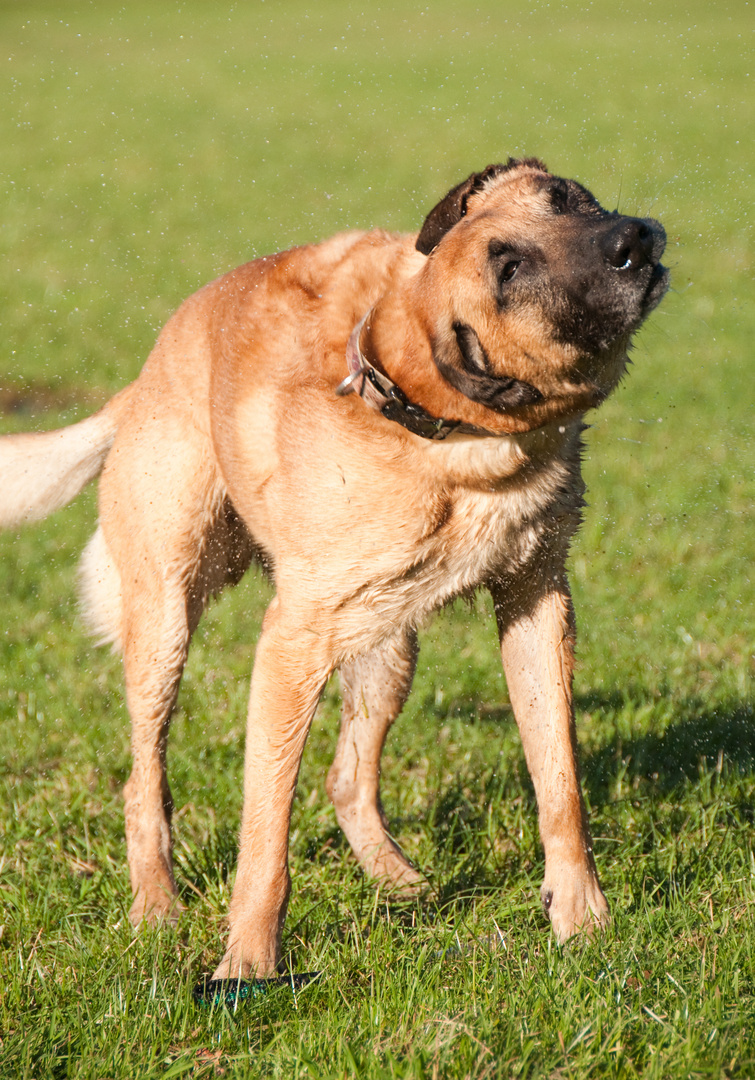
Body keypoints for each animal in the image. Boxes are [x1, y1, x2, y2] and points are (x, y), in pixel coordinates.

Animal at [2, 157, 669, 980]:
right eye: (508, 270)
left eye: (567, 198)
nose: (633, 240)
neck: (430, 420)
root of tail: (139, 382)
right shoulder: (289, 647)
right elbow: (264, 838)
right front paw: (246, 967)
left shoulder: (536, 600)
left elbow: (559, 782)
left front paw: (582, 919)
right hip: (164, 625)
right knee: (143, 782)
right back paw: (156, 906)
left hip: (387, 643)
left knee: (346, 777)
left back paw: (398, 881)